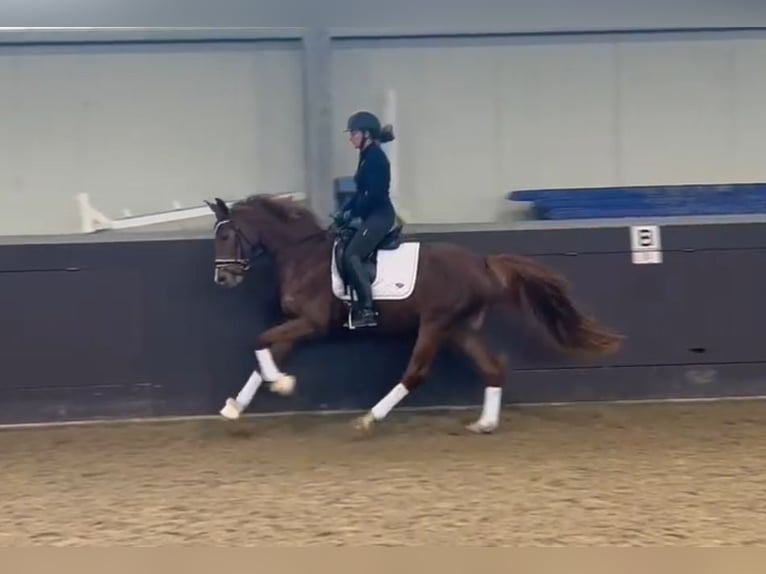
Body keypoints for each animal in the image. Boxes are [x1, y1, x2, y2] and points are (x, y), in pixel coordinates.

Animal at [206, 196, 624, 434]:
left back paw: (369, 419)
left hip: (435, 324)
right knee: (492, 368)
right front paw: (236, 407)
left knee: (416, 373)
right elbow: (264, 354)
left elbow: (260, 341)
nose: (223, 278)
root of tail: (483, 264)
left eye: (226, 236)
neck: (303, 254)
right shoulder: (296, 326)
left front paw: (282, 384)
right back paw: (485, 423)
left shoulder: (311, 323)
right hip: (460, 329)